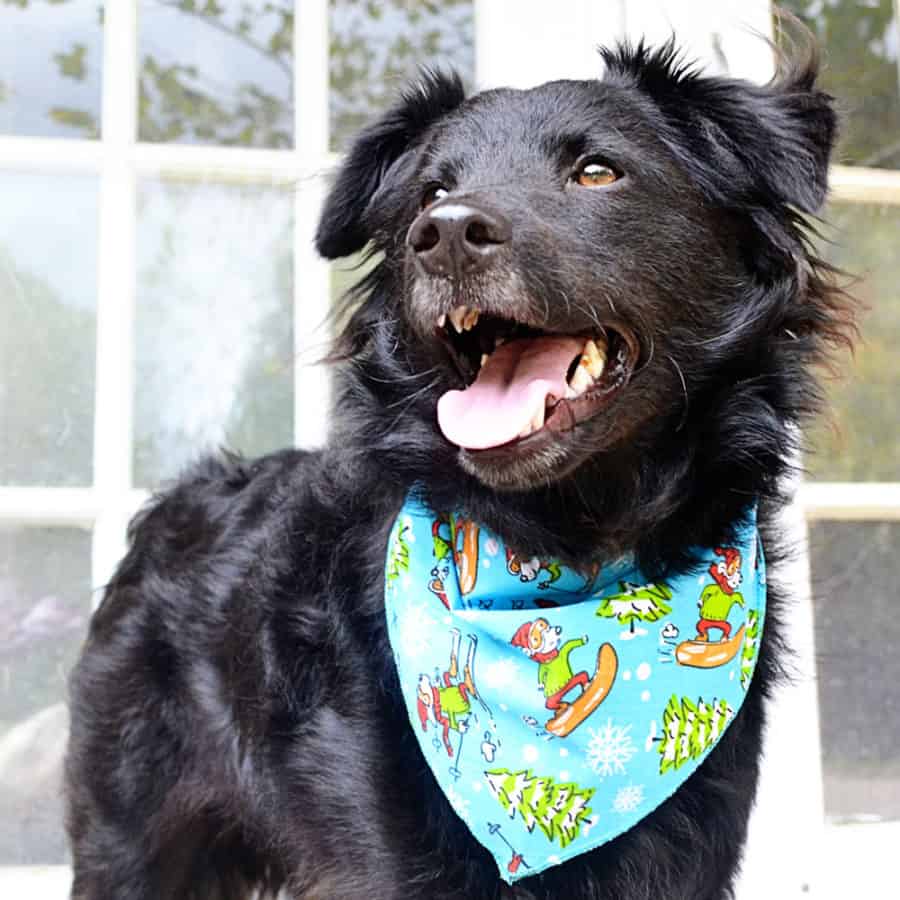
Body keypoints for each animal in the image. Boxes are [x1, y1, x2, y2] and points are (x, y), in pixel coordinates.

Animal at [67, 40, 856, 900]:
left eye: (598, 172)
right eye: (432, 191)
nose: (442, 234)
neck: (564, 548)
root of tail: (177, 501)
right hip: (132, 845)